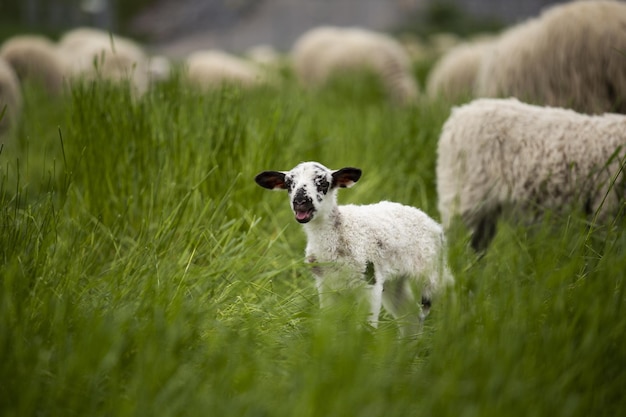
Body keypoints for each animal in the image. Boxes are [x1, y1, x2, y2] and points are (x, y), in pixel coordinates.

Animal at [255, 161, 454, 334]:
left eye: (323, 183)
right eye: (289, 184)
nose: (300, 201)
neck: (340, 230)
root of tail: (434, 224)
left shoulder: (370, 281)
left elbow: (367, 326)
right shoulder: (326, 283)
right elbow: (329, 321)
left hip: (431, 270)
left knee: (447, 292)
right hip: (395, 280)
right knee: (410, 316)